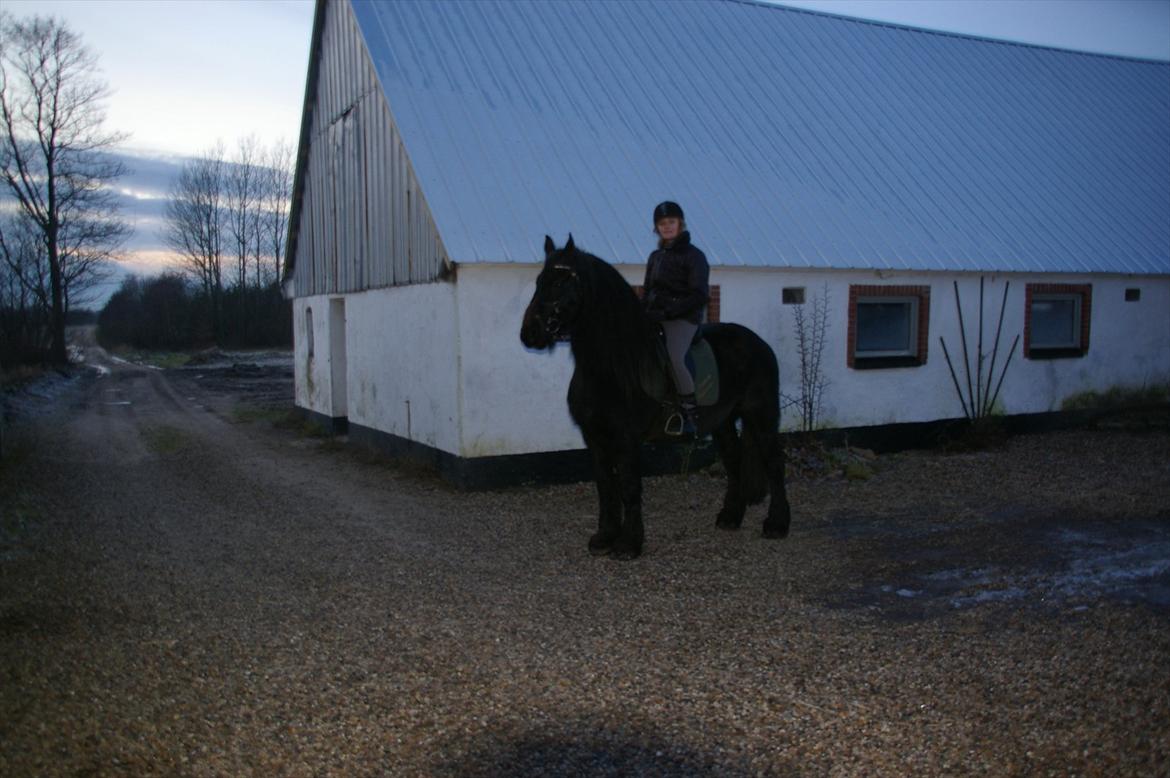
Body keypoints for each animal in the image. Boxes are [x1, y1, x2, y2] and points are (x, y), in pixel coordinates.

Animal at [524, 235, 790, 559]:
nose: (530, 332)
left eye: (562, 282)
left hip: (761, 415)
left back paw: (777, 524)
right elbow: (605, 486)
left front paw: (628, 544)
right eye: (539, 281)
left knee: (774, 462)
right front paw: (604, 537)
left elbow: (628, 487)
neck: (613, 366)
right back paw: (730, 517)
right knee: (734, 459)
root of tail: (758, 343)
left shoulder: (625, 438)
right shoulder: (595, 436)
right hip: (724, 421)